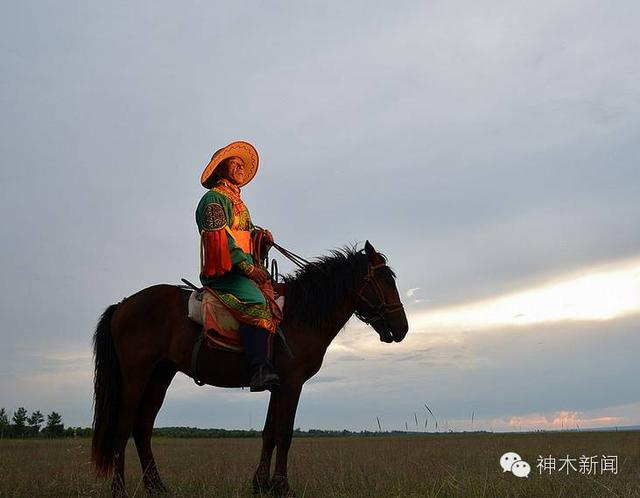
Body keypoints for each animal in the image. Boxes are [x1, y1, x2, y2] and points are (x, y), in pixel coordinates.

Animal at [90, 240, 410, 494]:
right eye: (387, 281)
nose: (402, 328)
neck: (299, 316)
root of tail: (123, 305)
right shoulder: (292, 384)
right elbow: (284, 434)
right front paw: (282, 486)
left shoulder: (276, 385)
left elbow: (269, 434)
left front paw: (261, 485)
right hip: (136, 376)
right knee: (123, 426)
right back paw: (119, 488)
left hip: (160, 375)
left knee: (142, 427)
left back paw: (156, 486)